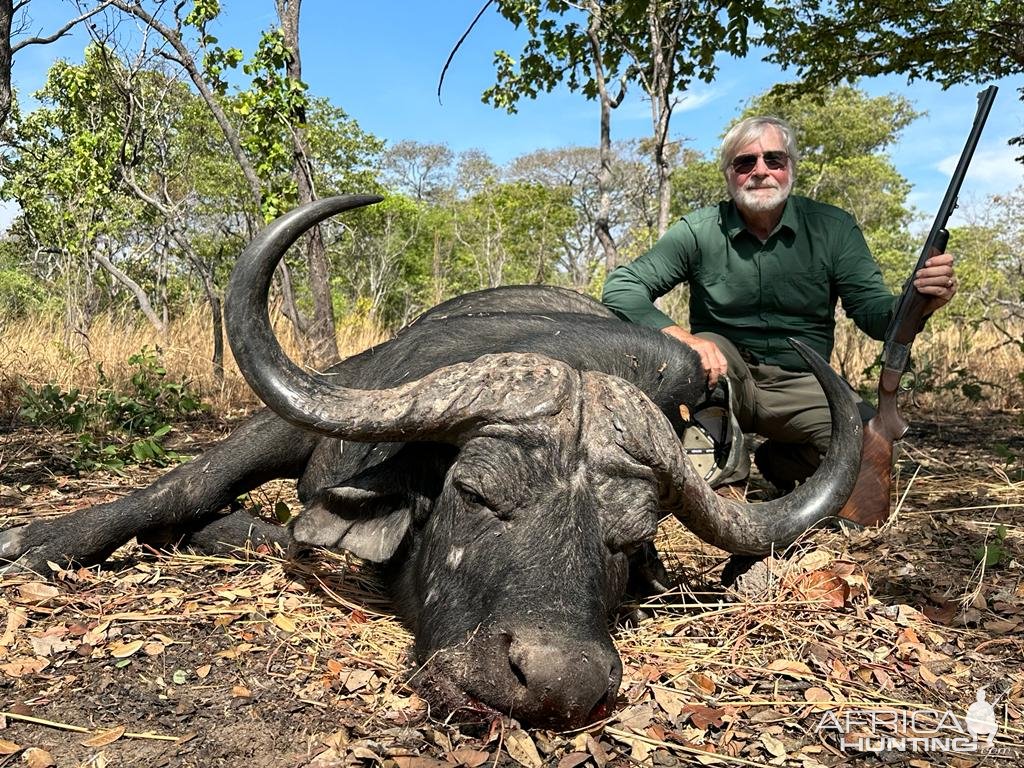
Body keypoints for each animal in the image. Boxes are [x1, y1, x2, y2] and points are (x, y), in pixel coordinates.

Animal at [0, 195, 864, 729]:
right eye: (477, 494)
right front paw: (35, 541)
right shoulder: (316, 408)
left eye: (628, 538)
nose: (559, 682)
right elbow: (183, 485)